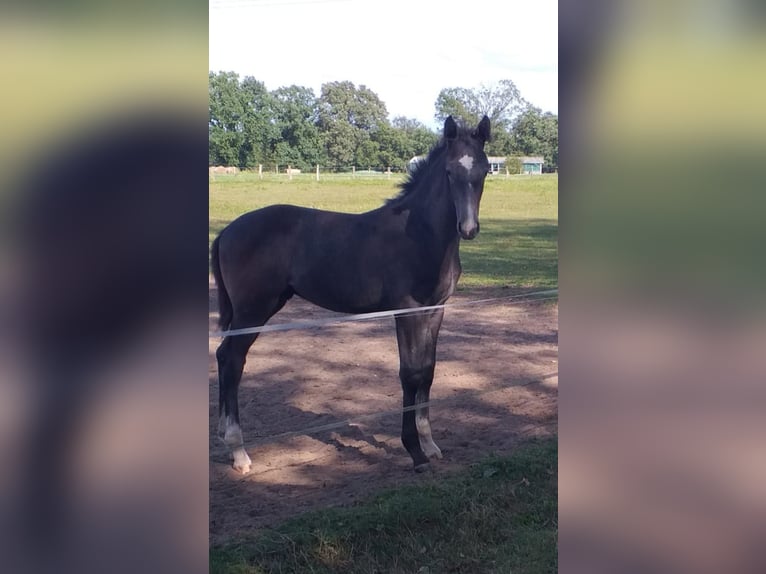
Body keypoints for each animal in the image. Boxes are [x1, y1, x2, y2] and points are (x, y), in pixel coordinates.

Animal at [213, 115, 496, 474]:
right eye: (449, 171)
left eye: (484, 170)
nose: (468, 229)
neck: (421, 235)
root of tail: (226, 231)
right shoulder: (406, 311)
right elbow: (410, 373)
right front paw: (414, 450)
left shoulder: (435, 310)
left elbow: (428, 371)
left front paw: (430, 445)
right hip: (253, 309)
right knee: (233, 360)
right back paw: (239, 452)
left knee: (223, 355)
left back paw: (224, 436)